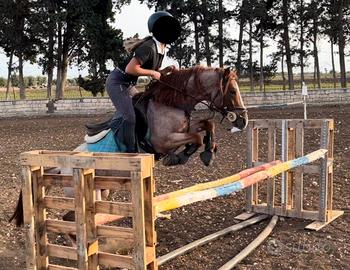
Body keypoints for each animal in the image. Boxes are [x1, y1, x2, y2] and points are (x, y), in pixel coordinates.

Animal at [9, 66, 247, 228]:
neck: (170, 102)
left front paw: (209, 150)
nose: (243, 121)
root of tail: (60, 166)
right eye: (232, 92)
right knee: (70, 218)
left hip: (101, 190)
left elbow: (206, 125)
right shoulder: (164, 140)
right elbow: (195, 137)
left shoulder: (184, 127)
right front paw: (184, 156)